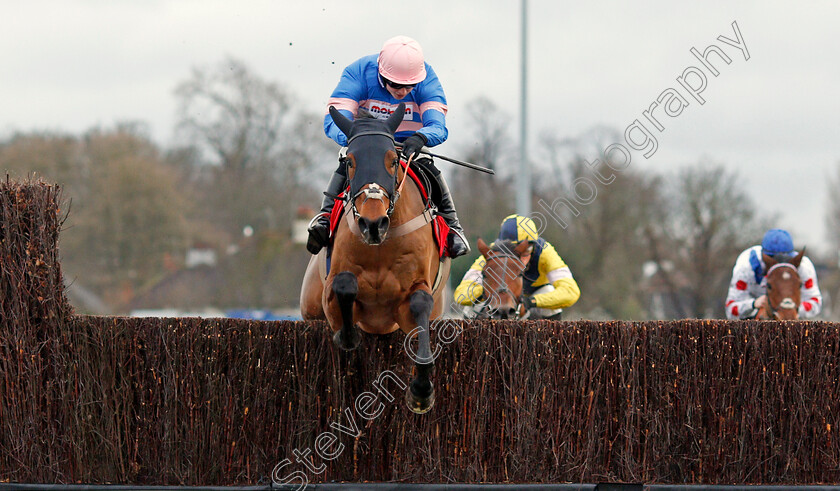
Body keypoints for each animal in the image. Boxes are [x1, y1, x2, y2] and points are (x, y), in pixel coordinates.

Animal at [298, 104, 450, 416]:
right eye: (350, 162)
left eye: (392, 160)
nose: (372, 223)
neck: (382, 244)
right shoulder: (331, 292)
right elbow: (344, 286)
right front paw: (348, 336)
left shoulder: (412, 296)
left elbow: (420, 306)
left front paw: (421, 391)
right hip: (310, 307)